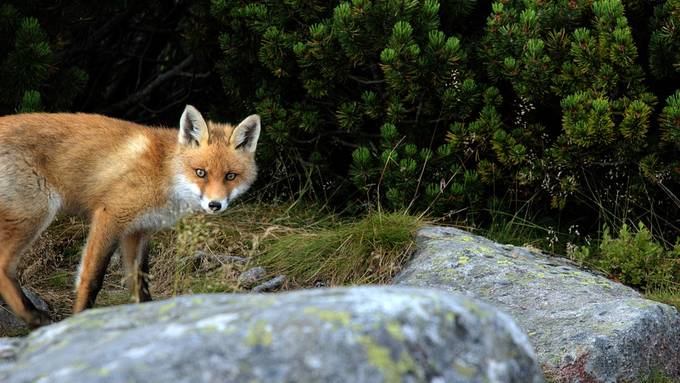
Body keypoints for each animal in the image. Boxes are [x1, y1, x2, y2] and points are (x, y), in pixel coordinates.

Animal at [0, 106, 260, 328]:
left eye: (230, 176)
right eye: (201, 172)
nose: (215, 205)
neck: (163, 172)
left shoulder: (137, 231)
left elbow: (140, 286)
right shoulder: (110, 216)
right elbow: (91, 279)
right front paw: (80, 319)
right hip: (35, 213)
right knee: (4, 266)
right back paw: (33, 316)